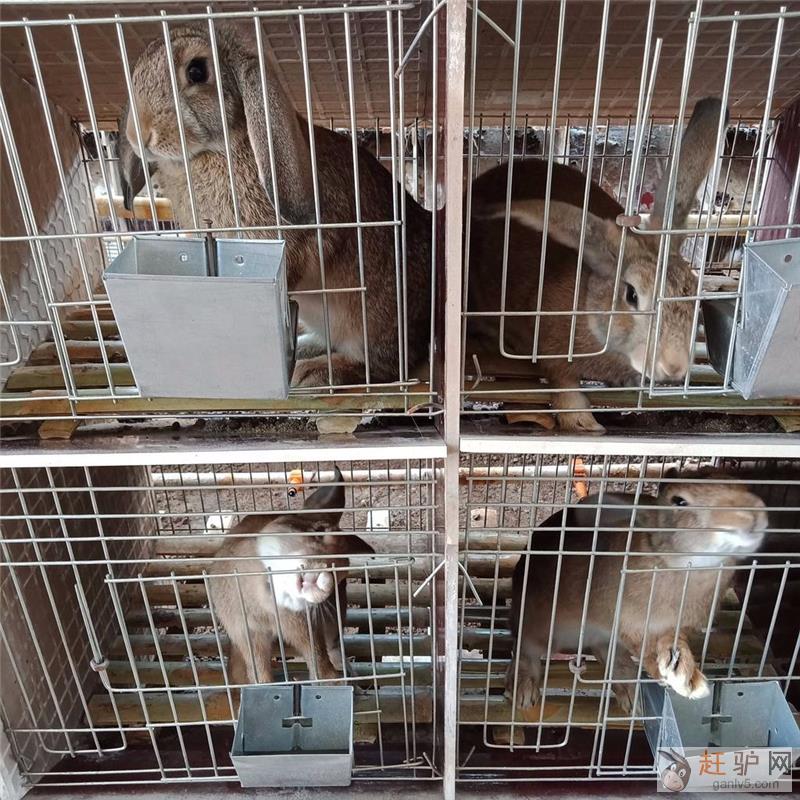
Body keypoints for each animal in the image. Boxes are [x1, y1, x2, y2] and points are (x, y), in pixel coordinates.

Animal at [207, 466, 374, 685]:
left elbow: (318, 659)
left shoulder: (304, 626)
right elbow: (259, 672)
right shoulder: (247, 633)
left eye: (340, 573)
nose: (323, 583)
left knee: (333, 645)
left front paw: (332, 681)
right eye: (318, 531)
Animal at [467, 98, 727, 432]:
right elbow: (564, 384)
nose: (673, 366)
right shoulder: (552, 353)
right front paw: (584, 423)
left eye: (694, 296)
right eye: (631, 295)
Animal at [505, 467, 767, 714]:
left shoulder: (674, 628)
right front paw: (682, 681)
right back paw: (522, 693)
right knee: (526, 649)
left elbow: (672, 644)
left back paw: (634, 698)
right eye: (679, 501)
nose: (752, 515)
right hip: (541, 625)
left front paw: (684, 672)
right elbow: (645, 652)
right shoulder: (628, 624)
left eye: (744, 486)